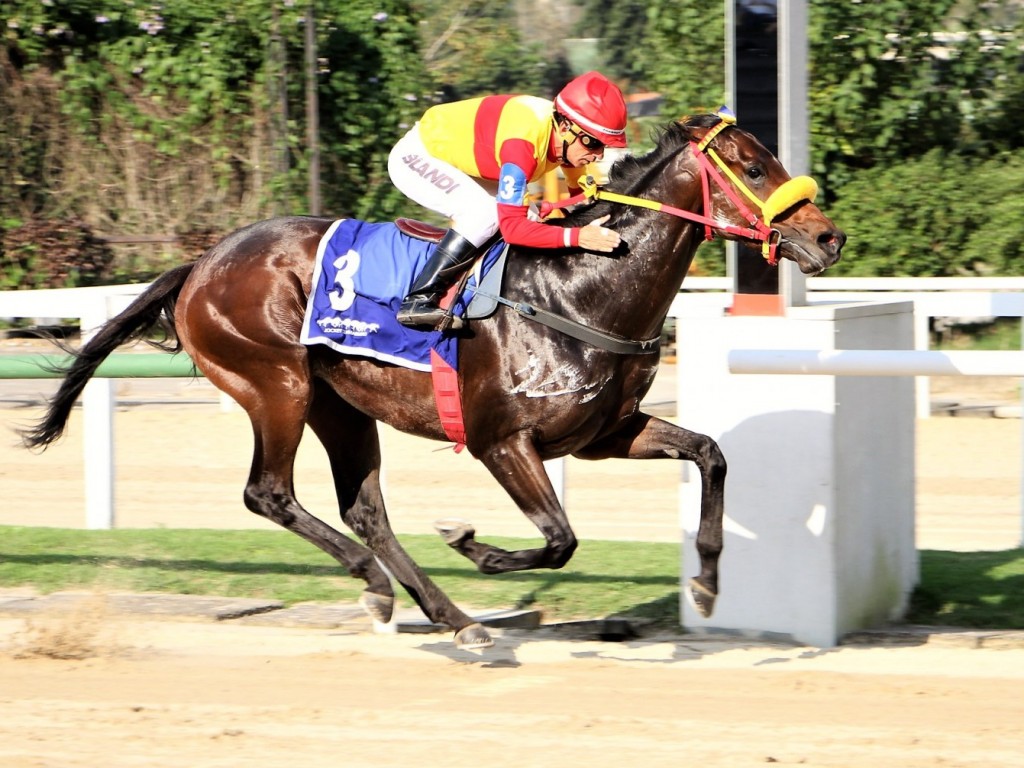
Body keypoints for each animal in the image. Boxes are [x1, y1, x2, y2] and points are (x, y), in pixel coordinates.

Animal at [24, 112, 843, 651]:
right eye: (754, 166)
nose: (828, 236)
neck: (581, 289)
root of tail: (201, 263)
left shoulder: (605, 433)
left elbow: (710, 453)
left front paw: (706, 582)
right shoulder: (499, 440)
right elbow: (560, 539)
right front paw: (474, 543)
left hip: (341, 406)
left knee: (364, 510)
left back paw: (447, 616)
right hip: (275, 384)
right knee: (270, 494)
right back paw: (379, 585)